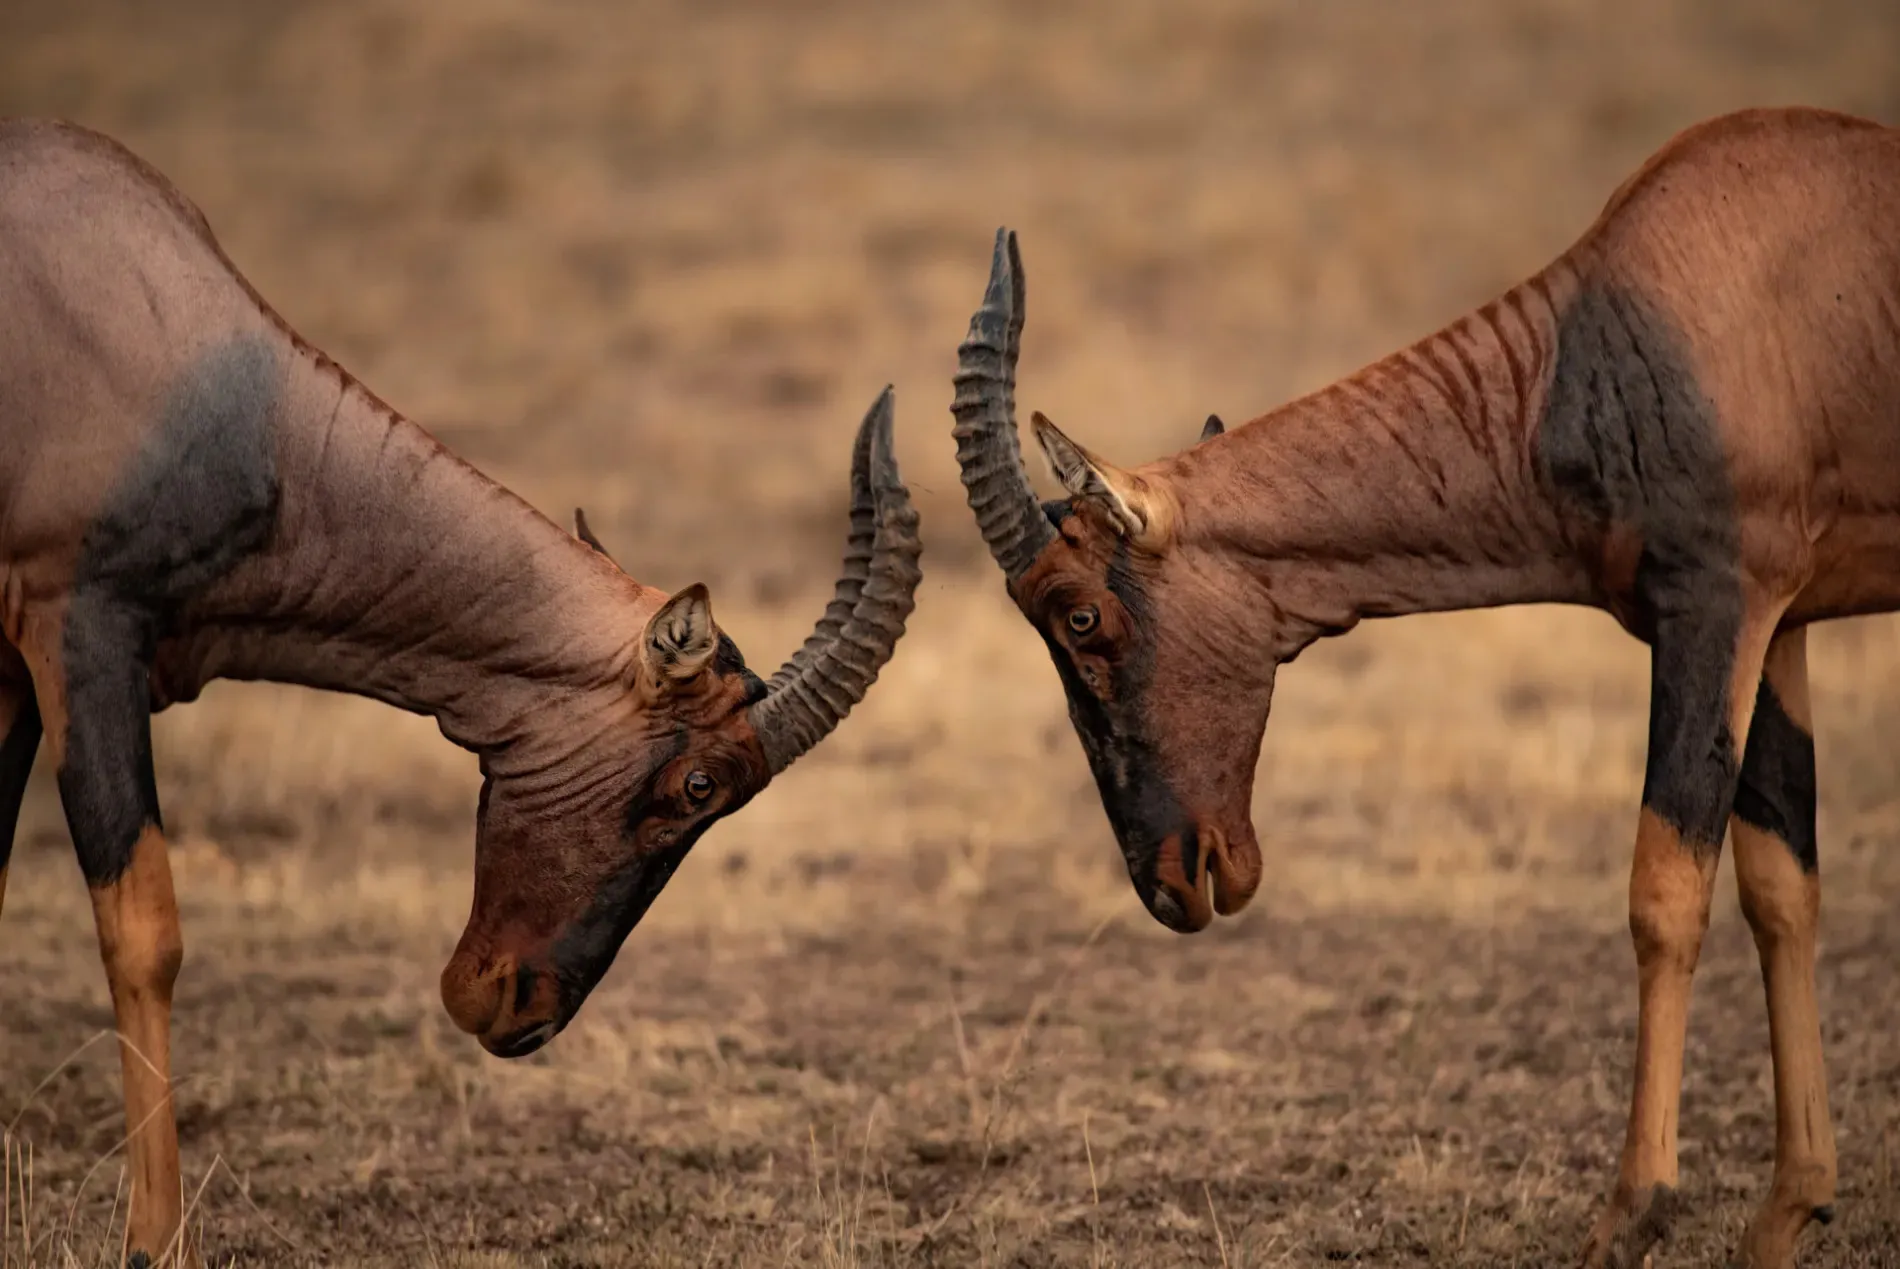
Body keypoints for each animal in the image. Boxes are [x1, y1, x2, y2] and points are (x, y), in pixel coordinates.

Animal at [0, 113, 927, 1261]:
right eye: (703, 782)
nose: (517, 1009)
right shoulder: (80, 629)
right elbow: (145, 934)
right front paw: (155, 1240)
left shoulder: (7, 665)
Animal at [950, 104, 1900, 1261]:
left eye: (1079, 614)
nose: (1171, 880)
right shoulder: (1783, 620)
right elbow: (1781, 888)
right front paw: (1790, 1207)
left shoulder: (1716, 606)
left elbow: (1664, 893)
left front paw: (1630, 1213)